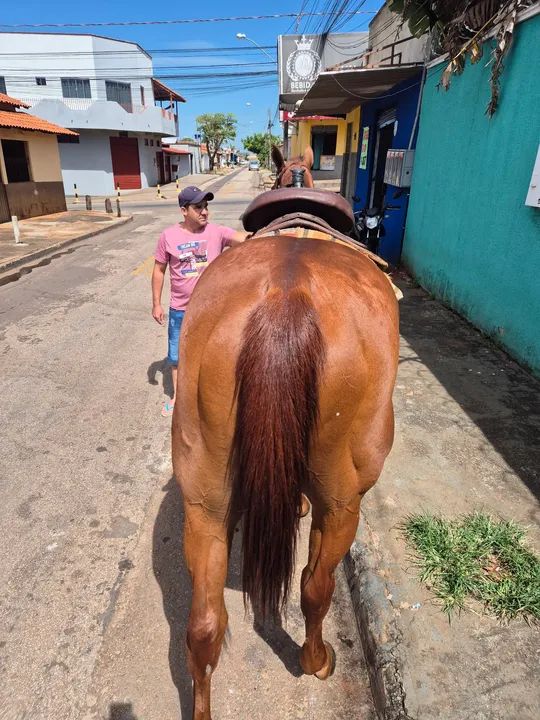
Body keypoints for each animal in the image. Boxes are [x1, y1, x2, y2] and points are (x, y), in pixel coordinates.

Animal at [171, 145, 399, 720]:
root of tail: (285, 296)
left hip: (204, 496)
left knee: (203, 625)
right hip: (344, 498)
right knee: (314, 587)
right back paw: (316, 660)